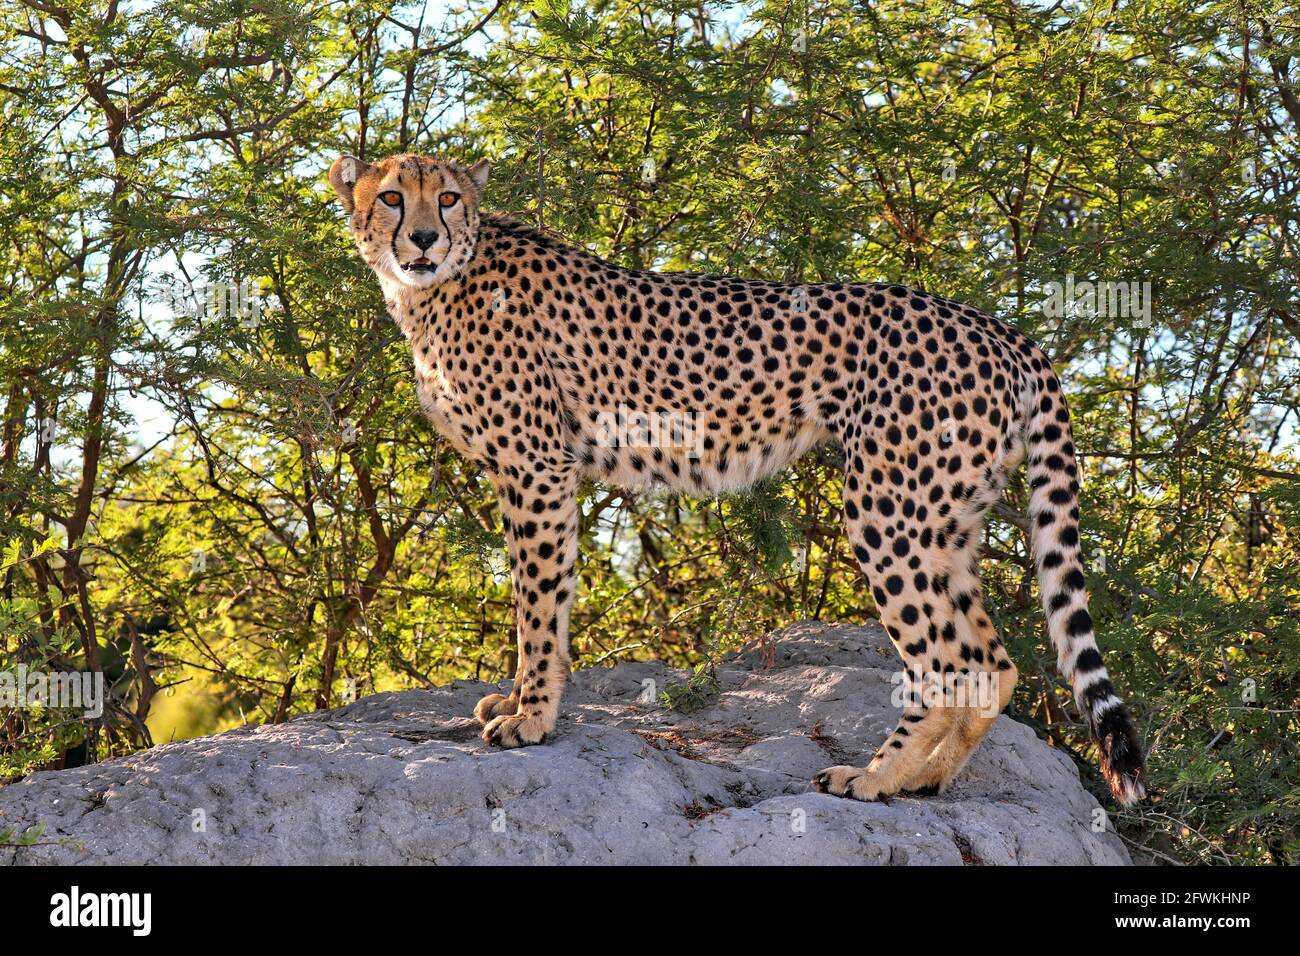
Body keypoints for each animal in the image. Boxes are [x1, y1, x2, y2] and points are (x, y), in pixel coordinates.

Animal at [328, 152, 1146, 805]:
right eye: (392, 197)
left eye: (447, 197)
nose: (424, 238)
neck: (432, 289)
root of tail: (997, 325)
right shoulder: (528, 474)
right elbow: (544, 605)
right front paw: (523, 702)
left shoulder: (536, 468)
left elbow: (538, 603)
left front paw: (532, 717)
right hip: (945, 519)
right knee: (994, 665)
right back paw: (924, 780)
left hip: (887, 510)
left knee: (947, 662)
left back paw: (873, 777)